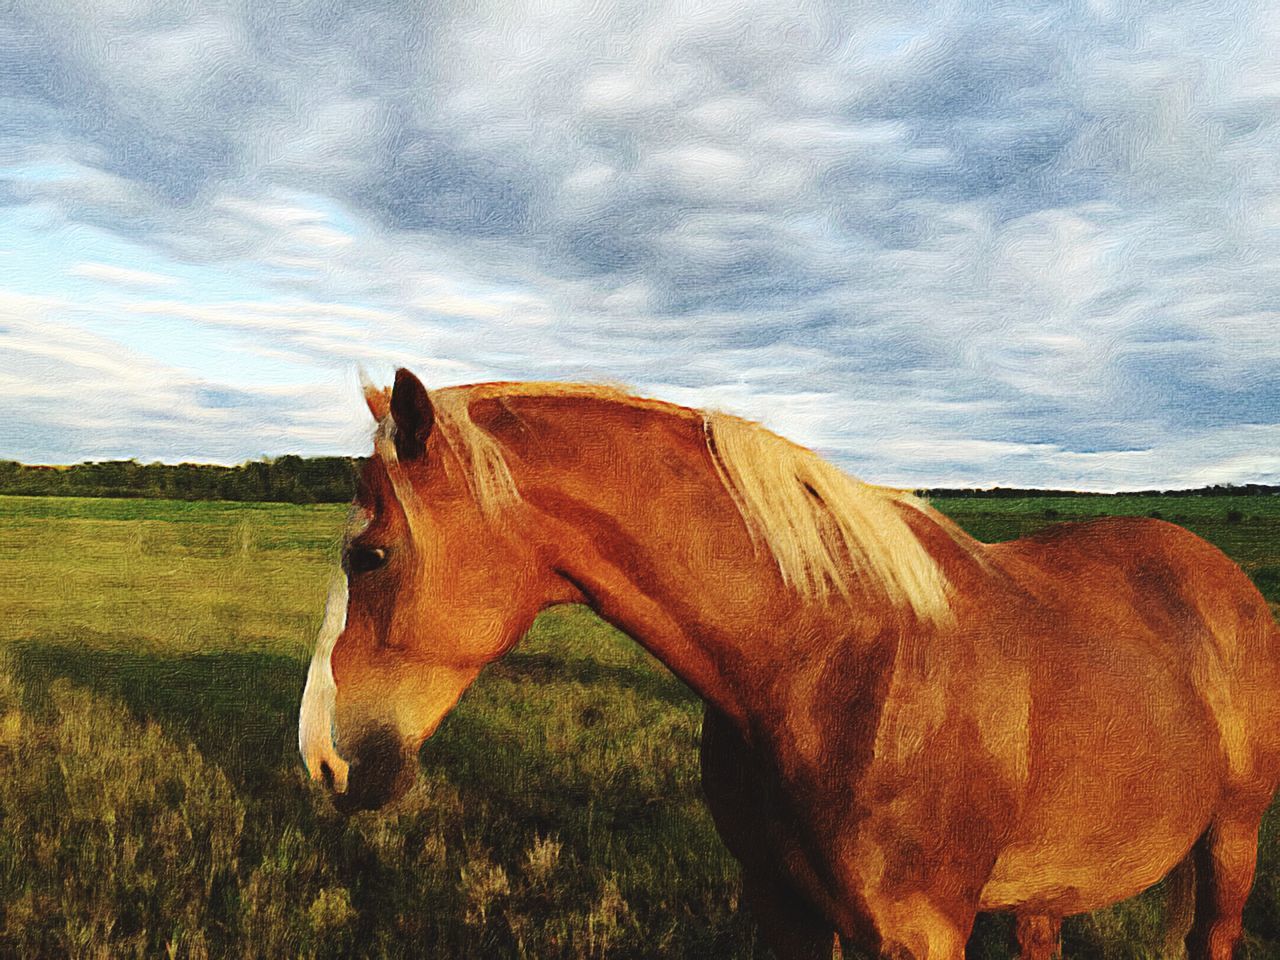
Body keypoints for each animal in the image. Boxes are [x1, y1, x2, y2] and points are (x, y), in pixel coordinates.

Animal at [296, 371, 1280, 960]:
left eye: (371, 556)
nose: (323, 759)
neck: (827, 663)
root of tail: (1221, 578)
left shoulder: (917, 932)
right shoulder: (788, 909)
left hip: (1231, 841)